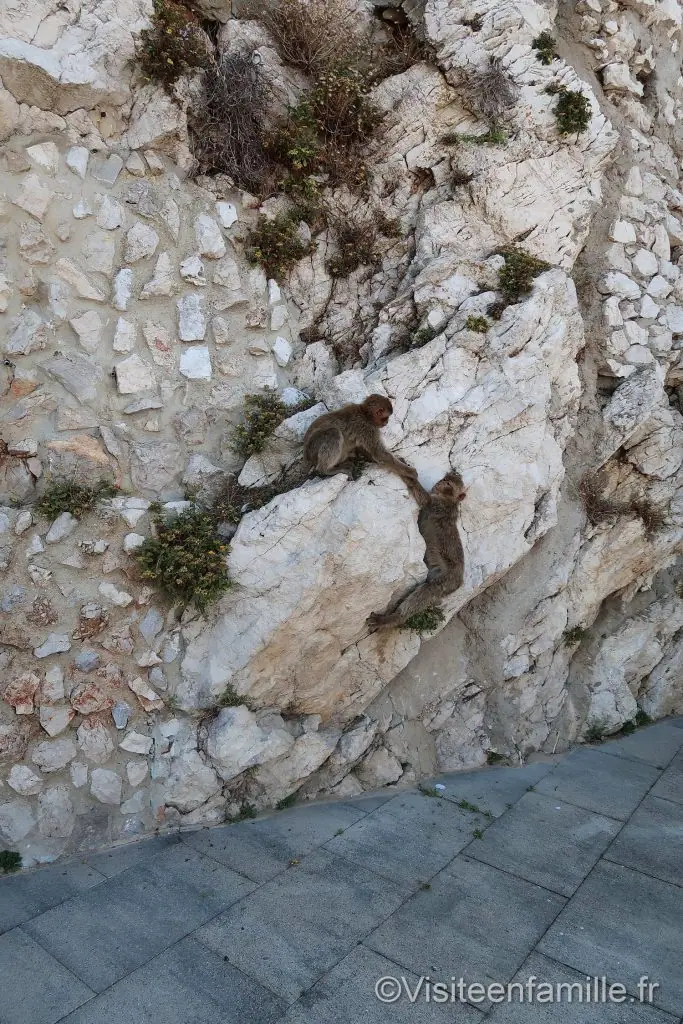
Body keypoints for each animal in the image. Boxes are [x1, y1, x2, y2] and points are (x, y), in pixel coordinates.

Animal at [367, 469, 466, 629]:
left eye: (449, 484)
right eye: (445, 479)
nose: (441, 482)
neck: (449, 499)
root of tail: (459, 581)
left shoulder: (438, 505)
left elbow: (424, 499)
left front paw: (404, 472)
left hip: (448, 580)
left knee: (428, 590)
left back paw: (393, 619)